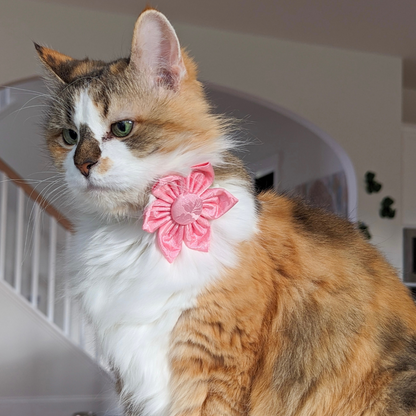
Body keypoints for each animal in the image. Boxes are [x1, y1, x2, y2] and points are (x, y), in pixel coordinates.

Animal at [34, 6, 416, 416]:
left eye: (122, 128)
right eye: (70, 137)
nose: (83, 165)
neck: (134, 234)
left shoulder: (214, 365)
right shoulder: (130, 376)